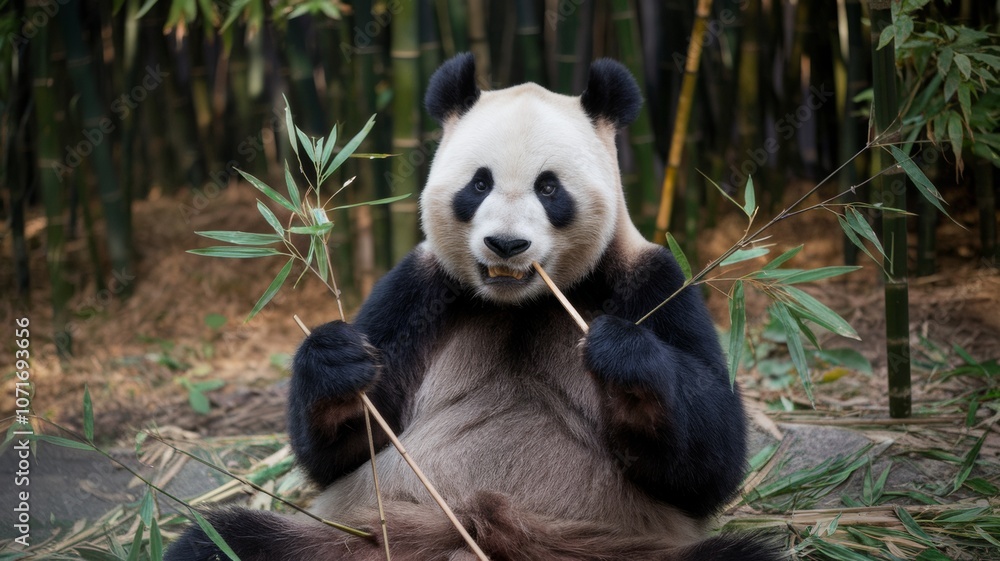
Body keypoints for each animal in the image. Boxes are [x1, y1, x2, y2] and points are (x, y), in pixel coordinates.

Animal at [166, 54, 782, 561]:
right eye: (479, 184)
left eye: (549, 188)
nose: (506, 245)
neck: (518, 302)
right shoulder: (419, 289)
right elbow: (343, 450)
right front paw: (337, 361)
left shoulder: (647, 282)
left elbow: (709, 457)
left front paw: (622, 355)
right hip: (366, 537)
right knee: (220, 542)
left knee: (742, 556)